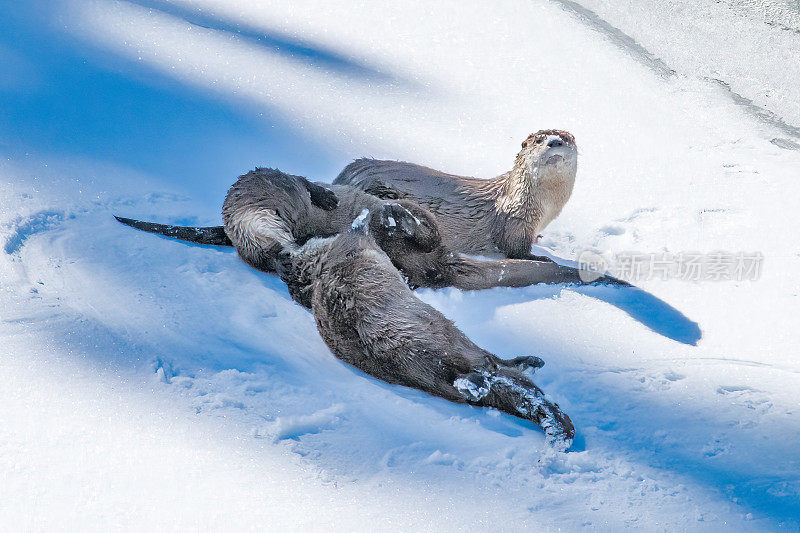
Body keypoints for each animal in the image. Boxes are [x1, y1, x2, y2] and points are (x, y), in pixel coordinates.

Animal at [276, 216, 576, 448]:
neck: (320, 270)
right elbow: (360, 232)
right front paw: (375, 219)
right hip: (447, 333)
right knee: (489, 364)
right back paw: (514, 370)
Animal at [334, 130, 580, 260]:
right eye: (539, 140)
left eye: (566, 138)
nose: (555, 141)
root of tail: (345, 176)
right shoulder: (515, 219)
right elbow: (514, 249)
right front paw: (540, 257)